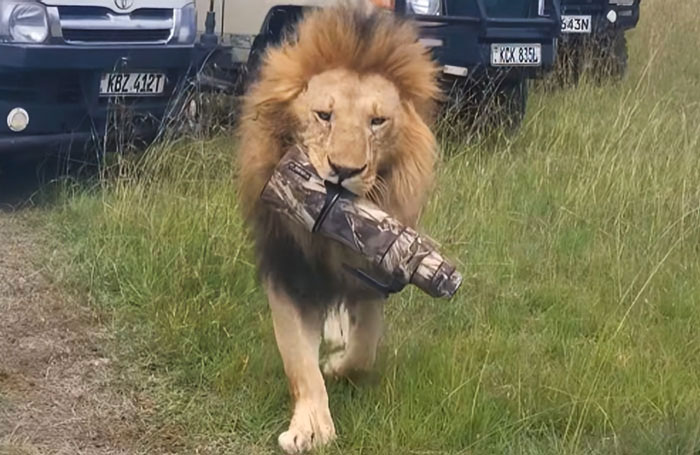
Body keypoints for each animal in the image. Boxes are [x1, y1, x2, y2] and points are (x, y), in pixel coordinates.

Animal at [236, 2, 441, 453]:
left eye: (377, 122)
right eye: (323, 115)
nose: (343, 171)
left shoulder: (374, 274)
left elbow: (364, 350)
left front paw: (336, 365)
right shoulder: (288, 272)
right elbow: (299, 360)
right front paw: (310, 427)